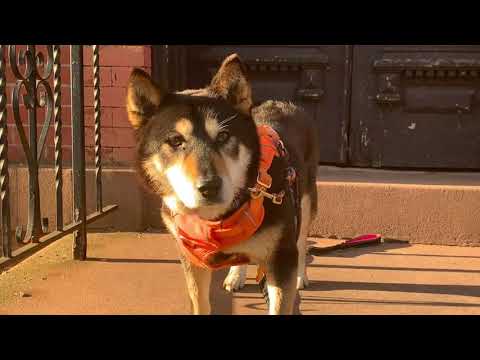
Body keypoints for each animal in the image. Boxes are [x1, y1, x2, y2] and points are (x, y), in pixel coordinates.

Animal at [126, 53, 318, 316]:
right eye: (175, 141)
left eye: (224, 136)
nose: (210, 187)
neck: (217, 221)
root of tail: (285, 103)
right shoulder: (191, 259)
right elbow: (200, 302)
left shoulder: (281, 257)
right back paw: (236, 275)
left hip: (306, 202)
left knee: (302, 239)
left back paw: (300, 275)